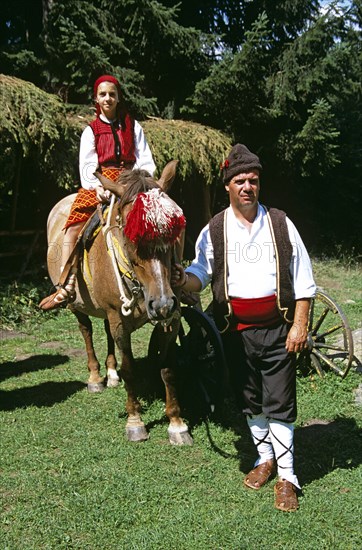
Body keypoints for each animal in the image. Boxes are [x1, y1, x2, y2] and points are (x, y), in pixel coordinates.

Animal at [45, 162, 192, 446]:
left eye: (173, 235)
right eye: (132, 237)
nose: (162, 303)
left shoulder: (171, 318)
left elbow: (168, 368)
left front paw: (176, 424)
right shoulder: (119, 319)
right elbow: (130, 369)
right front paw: (135, 421)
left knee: (104, 331)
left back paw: (111, 373)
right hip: (76, 304)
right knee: (87, 330)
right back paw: (95, 376)